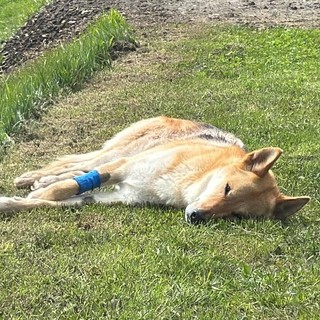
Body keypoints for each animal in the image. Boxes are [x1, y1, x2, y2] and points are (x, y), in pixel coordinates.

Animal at [0, 116, 310, 224]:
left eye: (237, 215)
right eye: (227, 188)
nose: (196, 217)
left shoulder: (120, 196)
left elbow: (66, 201)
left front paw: (13, 204)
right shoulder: (122, 168)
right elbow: (66, 188)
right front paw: (40, 192)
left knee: (74, 168)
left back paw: (38, 181)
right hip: (120, 153)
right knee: (77, 165)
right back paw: (33, 179)